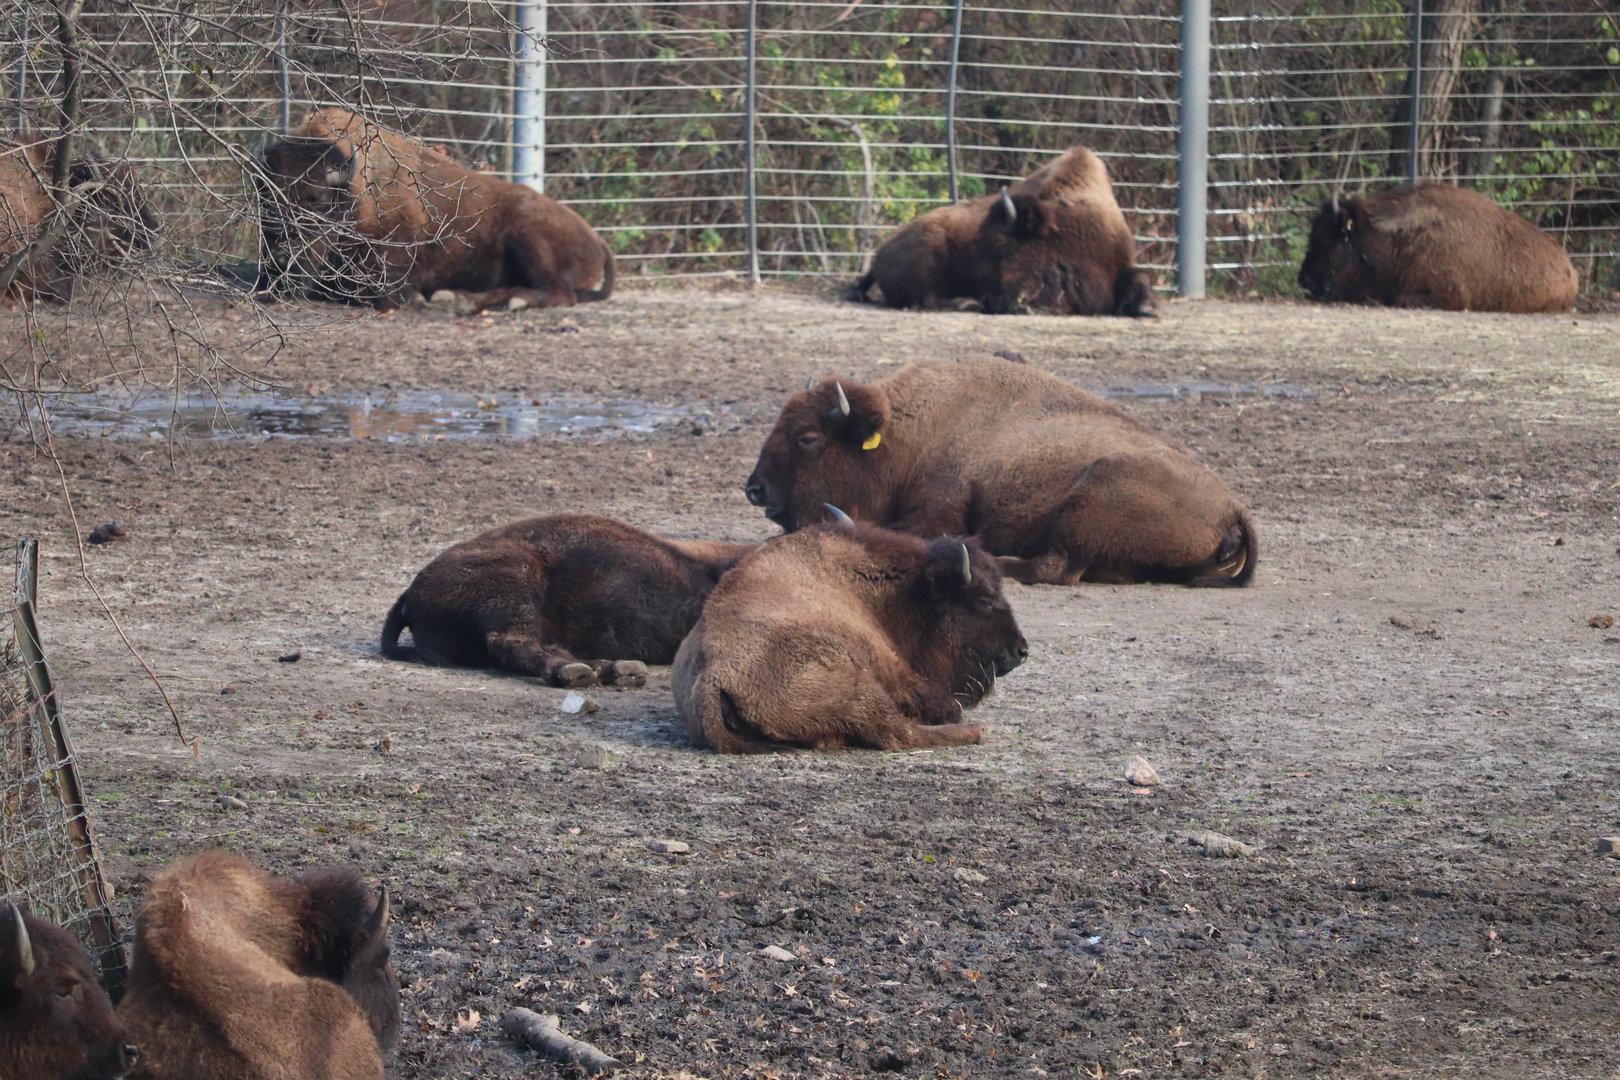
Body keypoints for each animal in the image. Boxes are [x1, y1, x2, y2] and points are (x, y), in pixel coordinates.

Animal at [257, 107, 614, 311]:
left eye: (316, 198)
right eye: (264, 198)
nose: (280, 259)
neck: (357, 190)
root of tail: (596, 238)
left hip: (528, 236)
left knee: (559, 293)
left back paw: (487, 300)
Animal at [674, 516, 1027, 752]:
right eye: (985, 600)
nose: (1021, 651)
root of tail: (712, 679)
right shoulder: (894, 669)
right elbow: (943, 703)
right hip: (858, 686)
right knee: (899, 733)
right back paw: (977, 731)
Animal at [745, 357, 1256, 587]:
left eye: (807, 438)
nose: (755, 489)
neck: (907, 434)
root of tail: (1232, 508)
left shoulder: (939, 510)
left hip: (1091, 496)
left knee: (1053, 567)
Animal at [844, 145, 1154, 317]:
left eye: (1000, 248)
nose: (1002, 303)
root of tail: (880, 252)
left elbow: (1138, 280)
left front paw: (1145, 308)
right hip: (928, 253)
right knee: (926, 298)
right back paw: (968, 303)